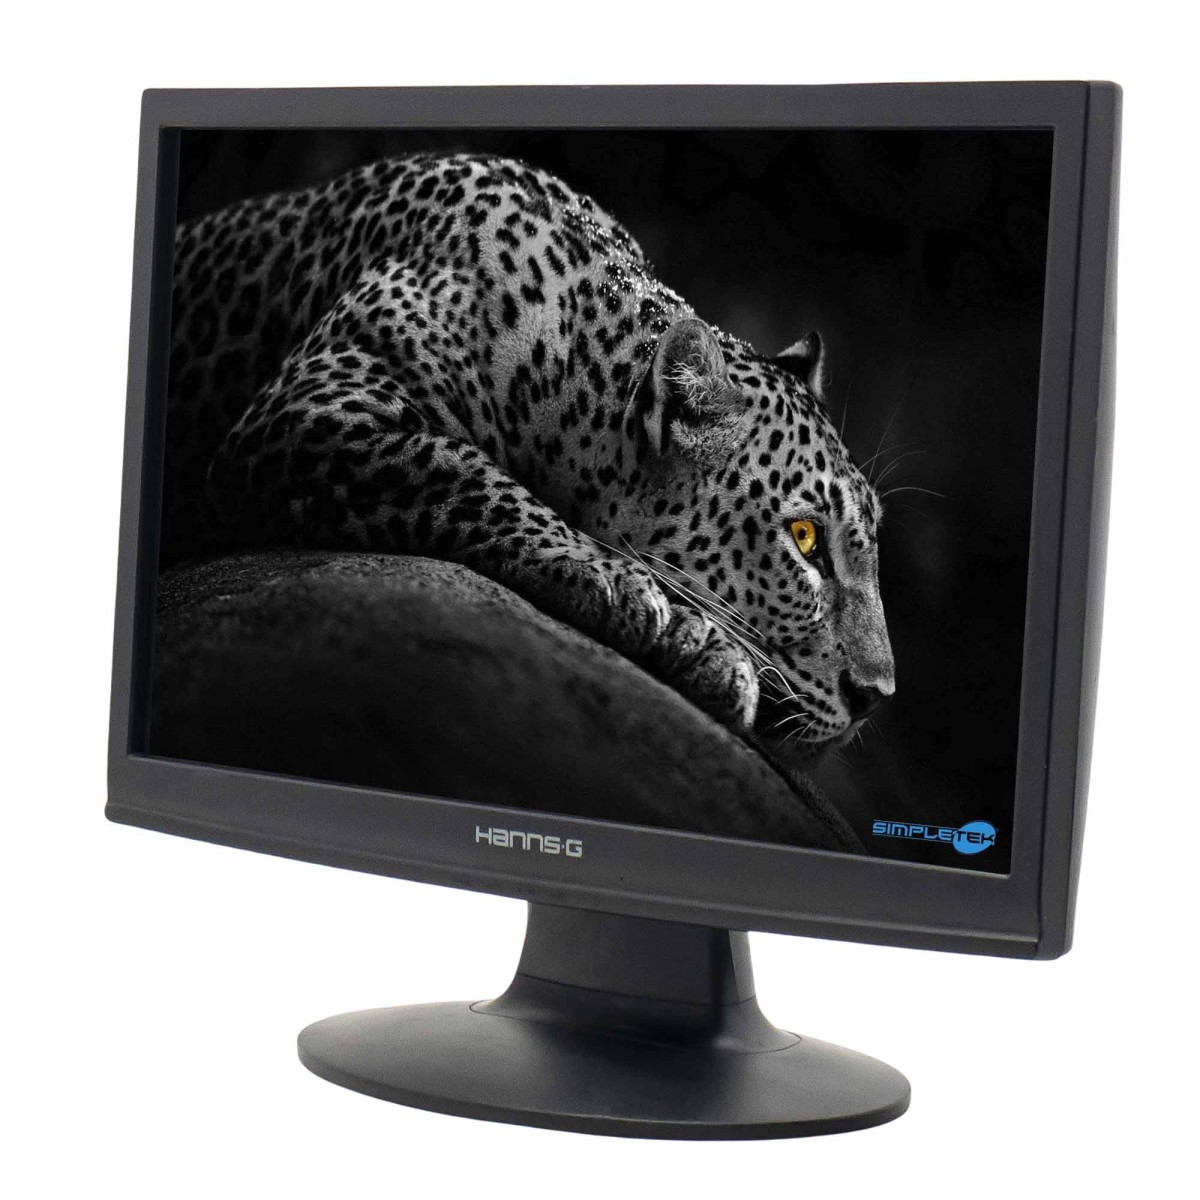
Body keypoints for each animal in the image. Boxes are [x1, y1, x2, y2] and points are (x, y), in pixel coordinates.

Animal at [161, 152, 895, 754]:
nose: (876, 698)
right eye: (805, 539)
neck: (564, 366)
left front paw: (695, 640)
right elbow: (468, 474)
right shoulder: (315, 408)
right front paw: (653, 608)